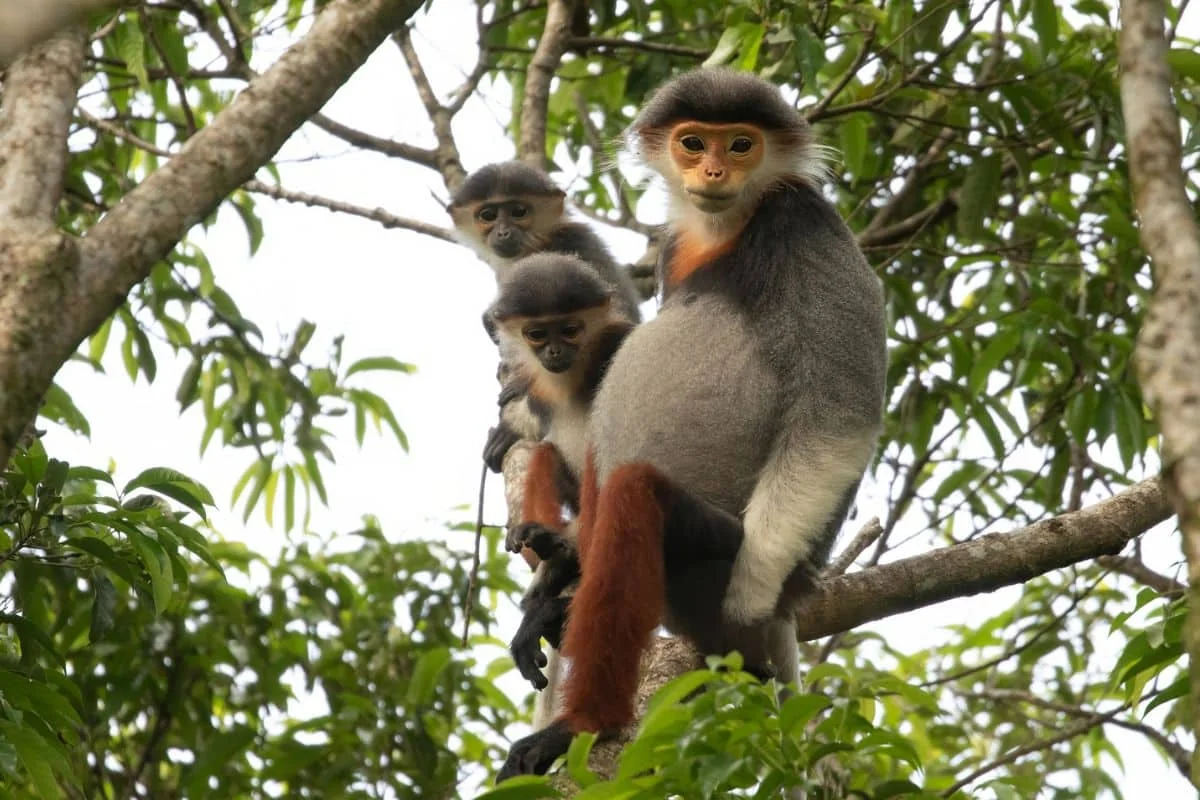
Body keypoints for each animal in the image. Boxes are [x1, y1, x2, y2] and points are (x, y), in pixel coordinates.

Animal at [496, 67, 888, 781]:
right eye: (692, 142)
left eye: (741, 144)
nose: (711, 169)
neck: (724, 229)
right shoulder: (677, 250)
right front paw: (549, 581)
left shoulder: (803, 220)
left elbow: (838, 411)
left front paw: (750, 592)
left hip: (720, 551)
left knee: (633, 497)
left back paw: (579, 725)